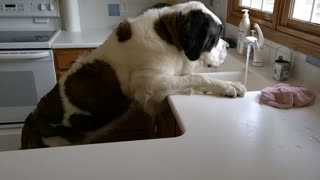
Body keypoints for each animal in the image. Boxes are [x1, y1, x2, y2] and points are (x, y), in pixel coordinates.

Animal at [21, 1, 246, 149]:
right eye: (215, 37)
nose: (228, 46)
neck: (167, 36)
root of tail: (29, 124)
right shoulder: (150, 82)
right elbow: (197, 77)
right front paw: (230, 86)